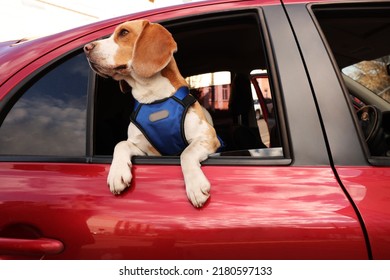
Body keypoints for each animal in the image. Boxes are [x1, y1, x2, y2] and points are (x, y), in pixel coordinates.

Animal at [84, 19, 221, 207]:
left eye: (124, 32)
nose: (86, 47)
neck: (153, 98)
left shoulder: (207, 137)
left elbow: (186, 152)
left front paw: (195, 185)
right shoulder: (146, 150)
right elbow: (121, 144)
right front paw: (117, 172)